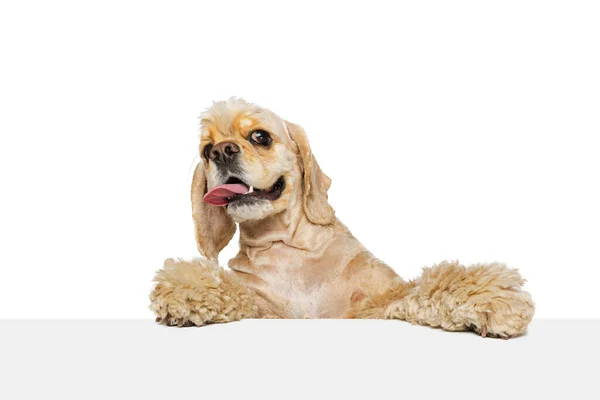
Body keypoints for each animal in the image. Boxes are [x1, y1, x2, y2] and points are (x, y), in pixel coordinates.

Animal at [150, 97, 536, 338]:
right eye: (205, 150)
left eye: (260, 136)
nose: (220, 152)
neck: (288, 249)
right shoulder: (265, 307)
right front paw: (183, 296)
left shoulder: (378, 302)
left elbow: (430, 286)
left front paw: (495, 301)